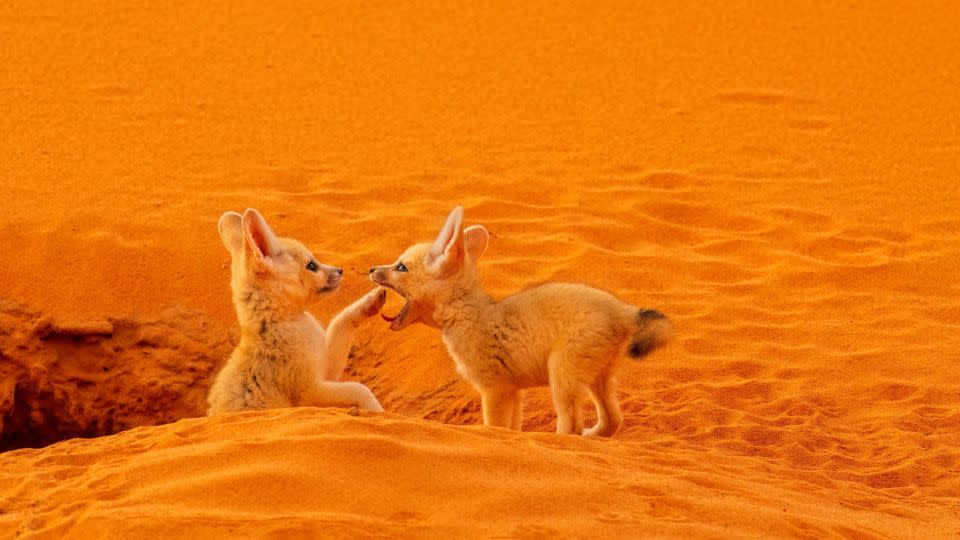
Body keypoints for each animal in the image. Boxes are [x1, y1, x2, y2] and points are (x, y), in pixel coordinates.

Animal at [208, 209, 388, 416]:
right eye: (311, 265)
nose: (340, 270)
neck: (279, 323)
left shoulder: (325, 367)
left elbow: (340, 320)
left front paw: (372, 300)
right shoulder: (309, 392)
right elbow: (358, 388)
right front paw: (380, 413)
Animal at [372, 205, 672, 436]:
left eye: (401, 267)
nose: (372, 268)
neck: (471, 314)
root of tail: (623, 311)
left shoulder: (496, 391)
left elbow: (496, 429)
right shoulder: (514, 391)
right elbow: (513, 431)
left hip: (562, 377)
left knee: (572, 426)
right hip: (598, 379)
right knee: (612, 421)